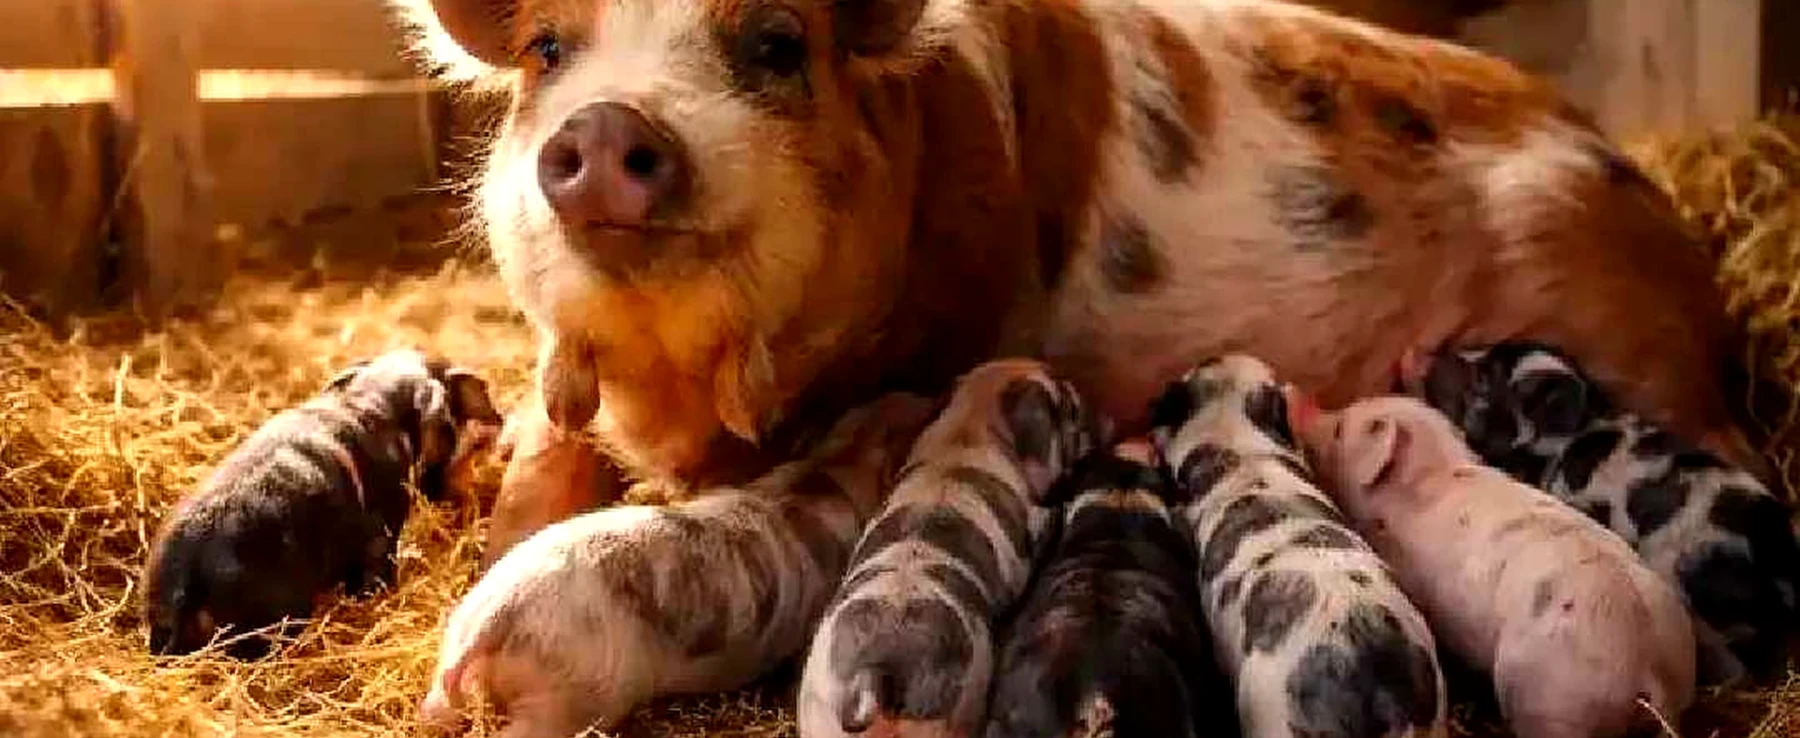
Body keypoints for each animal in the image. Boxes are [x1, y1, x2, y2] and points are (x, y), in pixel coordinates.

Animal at [797, 358, 1104, 738]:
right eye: (1066, 404)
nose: (1078, 392)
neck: (968, 430)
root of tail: (877, 672)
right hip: (955, 707)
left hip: (818, 707)